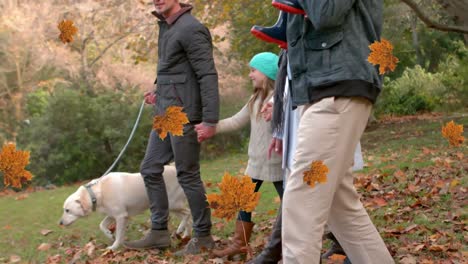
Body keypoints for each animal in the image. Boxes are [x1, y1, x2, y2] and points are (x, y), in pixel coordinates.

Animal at [60, 166, 192, 251]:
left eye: (67, 210)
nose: (60, 223)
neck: (98, 192)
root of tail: (175, 169)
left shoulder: (121, 216)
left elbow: (119, 235)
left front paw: (113, 247)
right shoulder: (112, 215)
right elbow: (102, 225)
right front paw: (109, 234)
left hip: (172, 204)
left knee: (188, 213)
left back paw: (180, 230)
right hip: (171, 207)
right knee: (188, 218)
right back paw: (185, 236)